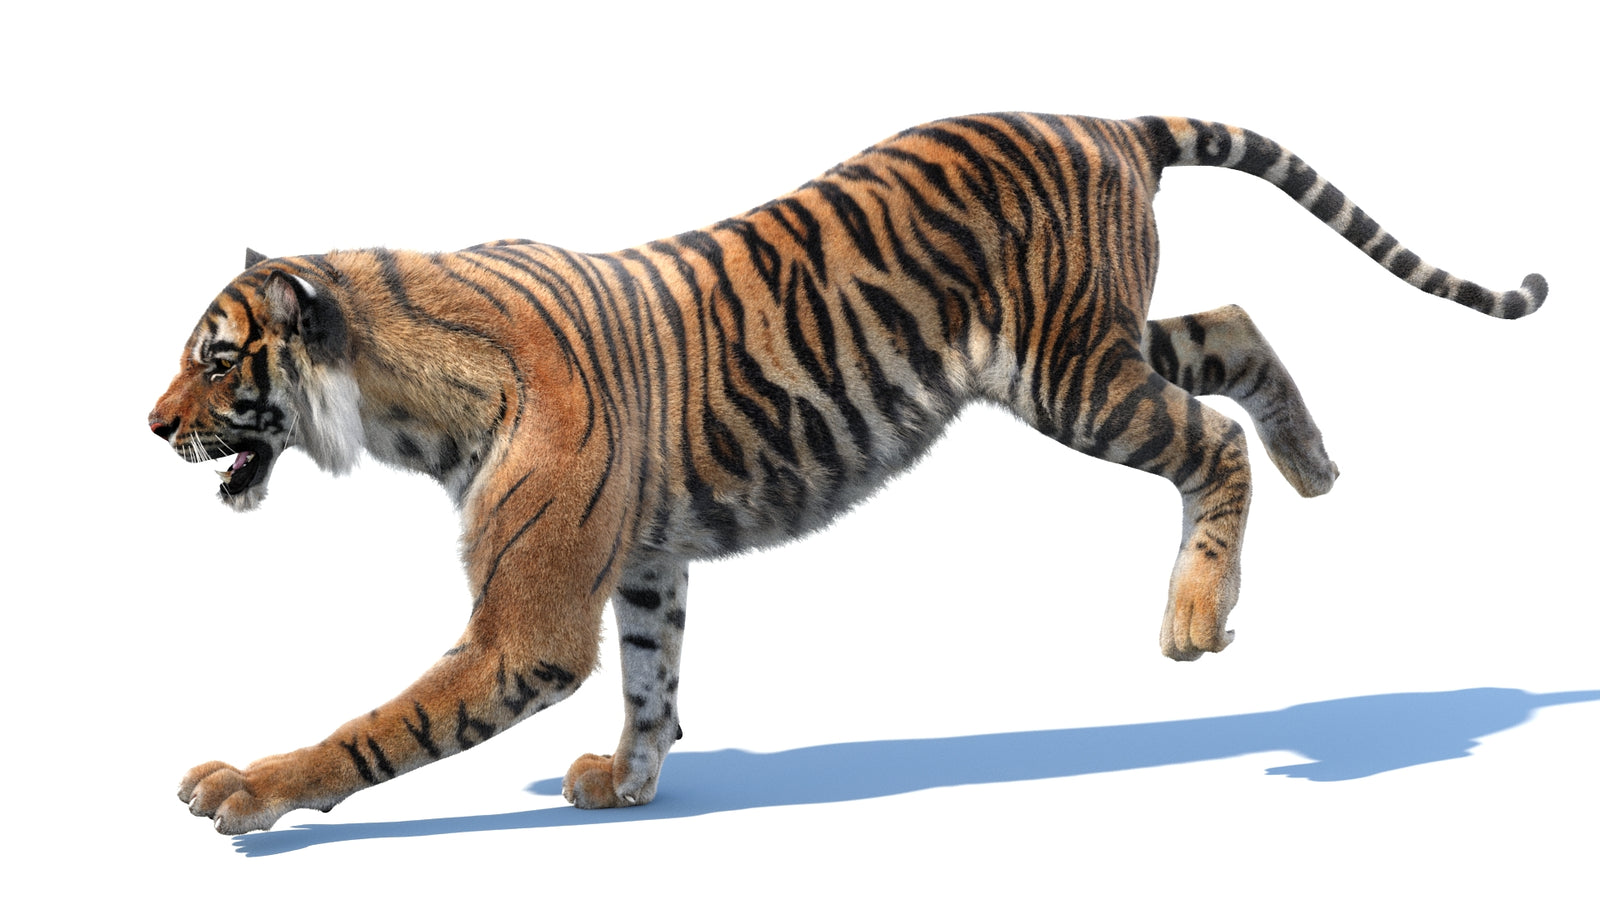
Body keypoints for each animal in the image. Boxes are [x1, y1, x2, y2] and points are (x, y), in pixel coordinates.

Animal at [150, 113, 1546, 834]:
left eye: (216, 361)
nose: (151, 426)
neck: (399, 399)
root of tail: (1104, 119)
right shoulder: (645, 560)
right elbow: (655, 677)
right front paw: (629, 783)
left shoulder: (524, 625)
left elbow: (382, 724)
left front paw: (250, 789)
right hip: (1099, 340)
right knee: (1239, 328)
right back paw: (1318, 467)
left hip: (1070, 376)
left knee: (1208, 442)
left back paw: (1197, 616)